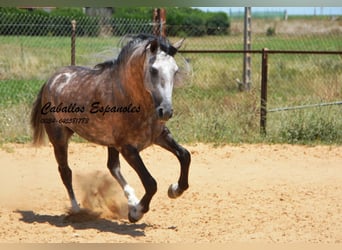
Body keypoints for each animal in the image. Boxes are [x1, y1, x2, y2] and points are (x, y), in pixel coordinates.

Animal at [30, 33, 191, 223]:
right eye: (153, 70)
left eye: (175, 70)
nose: (165, 111)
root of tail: (50, 80)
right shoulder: (128, 148)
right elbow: (150, 183)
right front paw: (136, 213)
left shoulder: (160, 136)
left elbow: (185, 155)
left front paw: (174, 190)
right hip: (59, 139)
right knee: (66, 172)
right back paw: (77, 209)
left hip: (109, 143)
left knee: (112, 167)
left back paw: (131, 200)